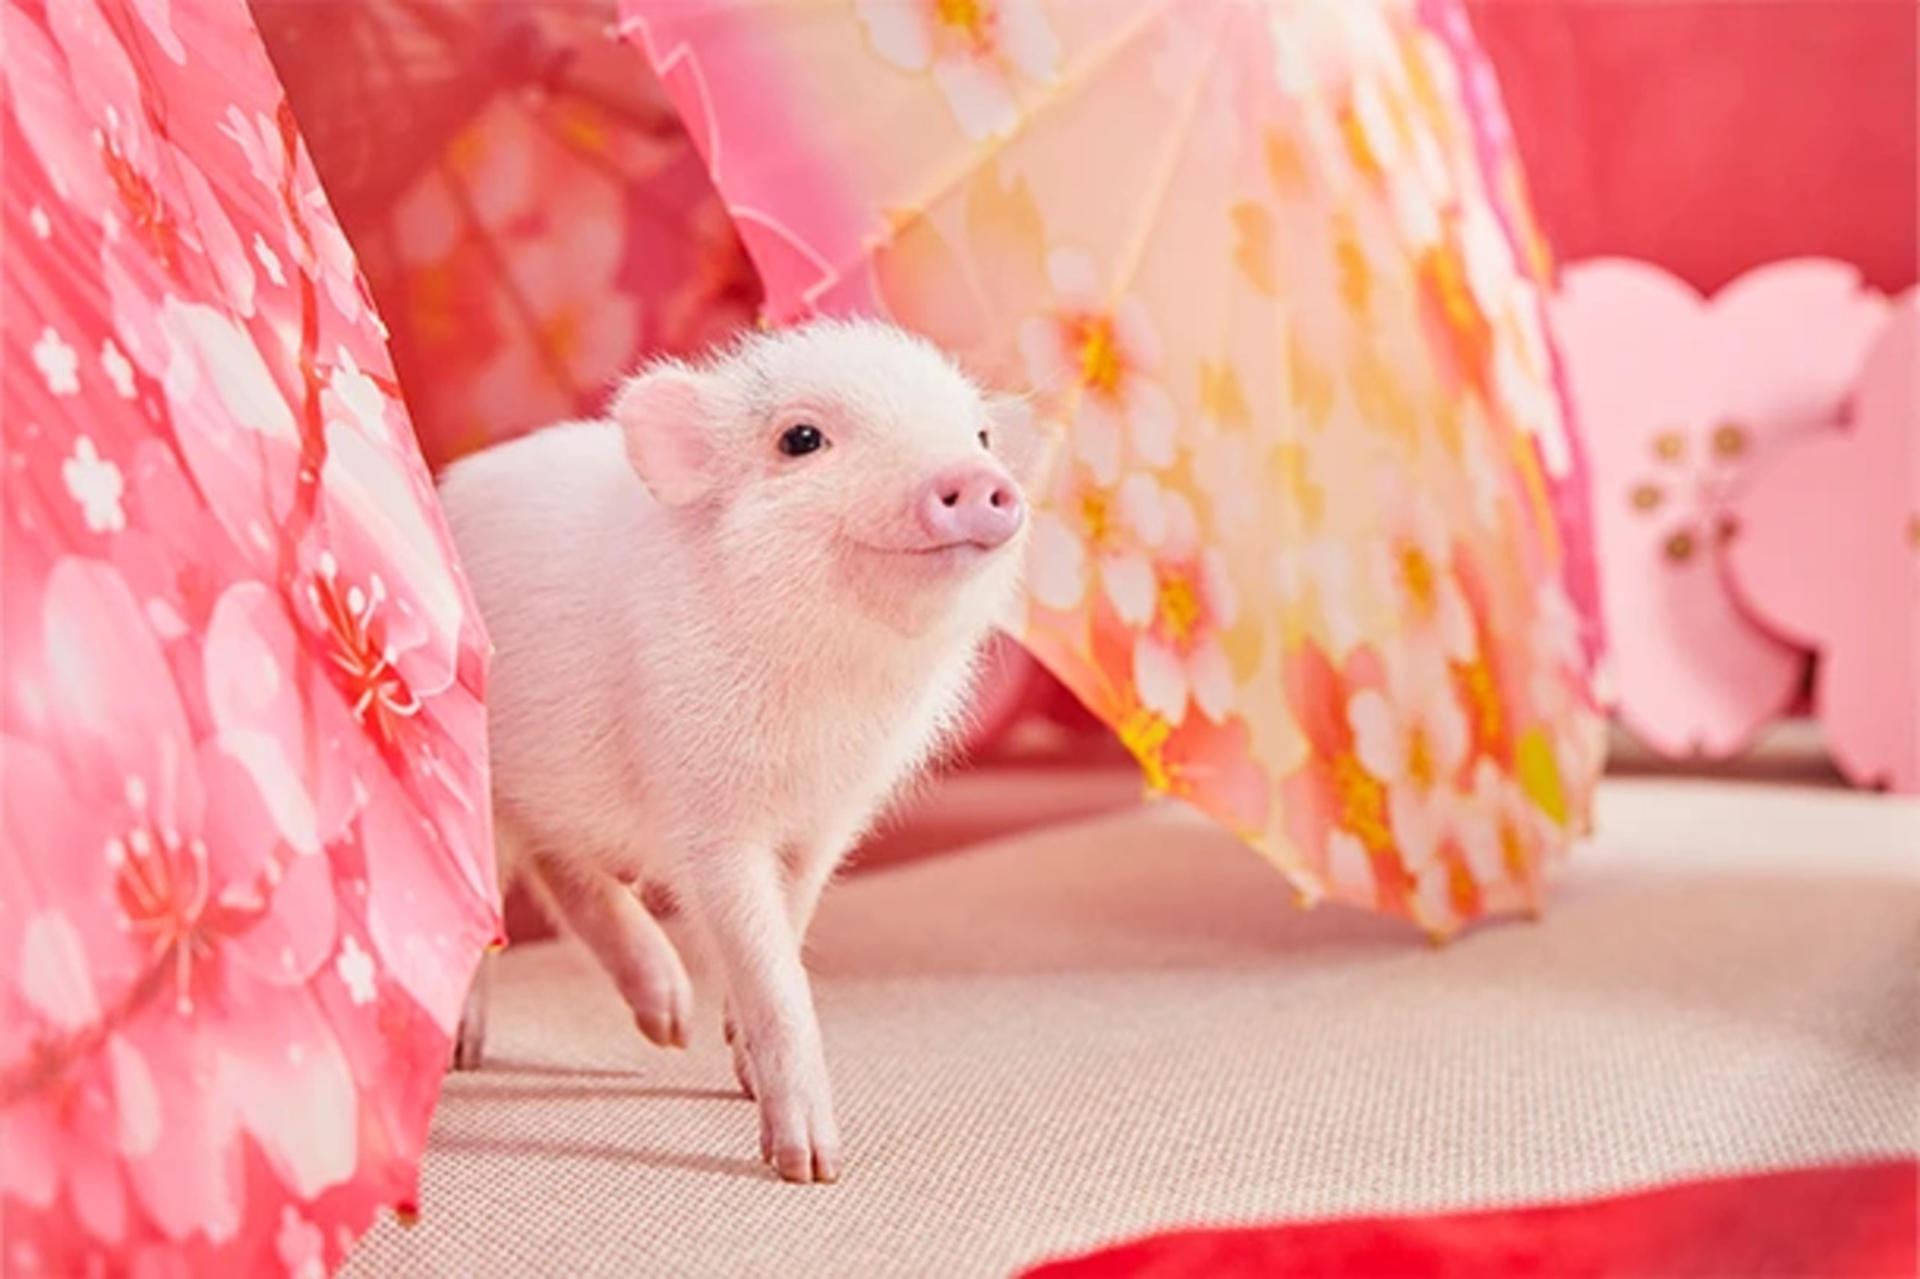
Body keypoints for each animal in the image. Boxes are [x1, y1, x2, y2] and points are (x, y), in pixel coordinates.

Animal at [436, 318, 1042, 1183]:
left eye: (981, 434)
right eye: (801, 439)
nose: (976, 477)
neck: (827, 694)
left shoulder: (831, 816)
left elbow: (790, 922)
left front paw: (736, 1063)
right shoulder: (707, 810)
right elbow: (765, 959)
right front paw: (812, 1167)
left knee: (561, 869)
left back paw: (667, 1023)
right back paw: (466, 1054)